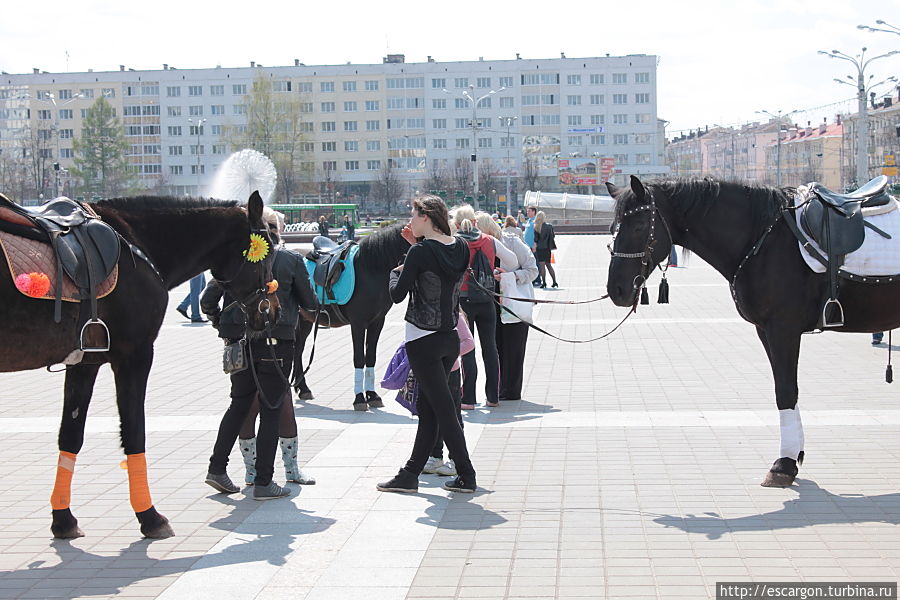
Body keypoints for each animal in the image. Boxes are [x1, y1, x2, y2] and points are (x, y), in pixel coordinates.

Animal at [0, 192, 280, 540]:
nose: (272, 312)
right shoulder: (135, 354)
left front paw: (63, 519)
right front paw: (150, 516)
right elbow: (135, 432)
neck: (136, 242)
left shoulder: (85, 362)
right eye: (270, 253)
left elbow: (71, 435)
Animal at [296, 223, 408, 410]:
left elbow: (371, 357)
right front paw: (360, 399)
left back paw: (302, 388)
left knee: (297, 348)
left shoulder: (377, 322)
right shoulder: (358, 323)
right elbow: (359, 358)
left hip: (305, 319)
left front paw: (372, 395)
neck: (371, 269)